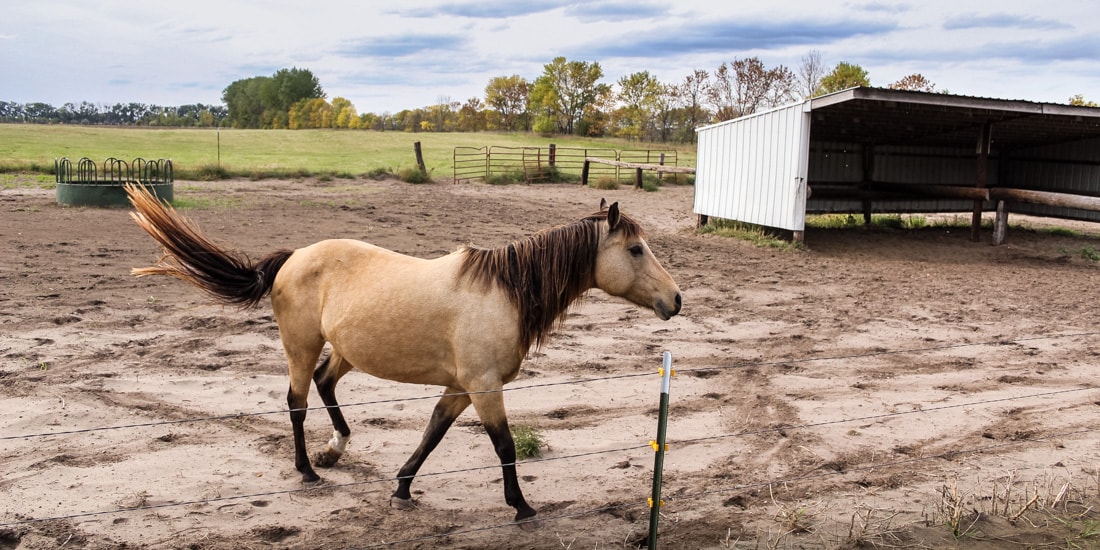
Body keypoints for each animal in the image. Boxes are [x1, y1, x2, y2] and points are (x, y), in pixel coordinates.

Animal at [126, 182, 677, 521]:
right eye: (635, 249)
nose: (675, 299)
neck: (504, 292)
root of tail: (294, 256)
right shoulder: (484, 387)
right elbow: (504, 446)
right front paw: (521, 506)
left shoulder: (460, 387)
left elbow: (432, 433)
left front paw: (403, 487)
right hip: (301, 347)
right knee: (297, 402)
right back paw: (307, 469)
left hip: (345, 350)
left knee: (325, 385)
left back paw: (335, 449)